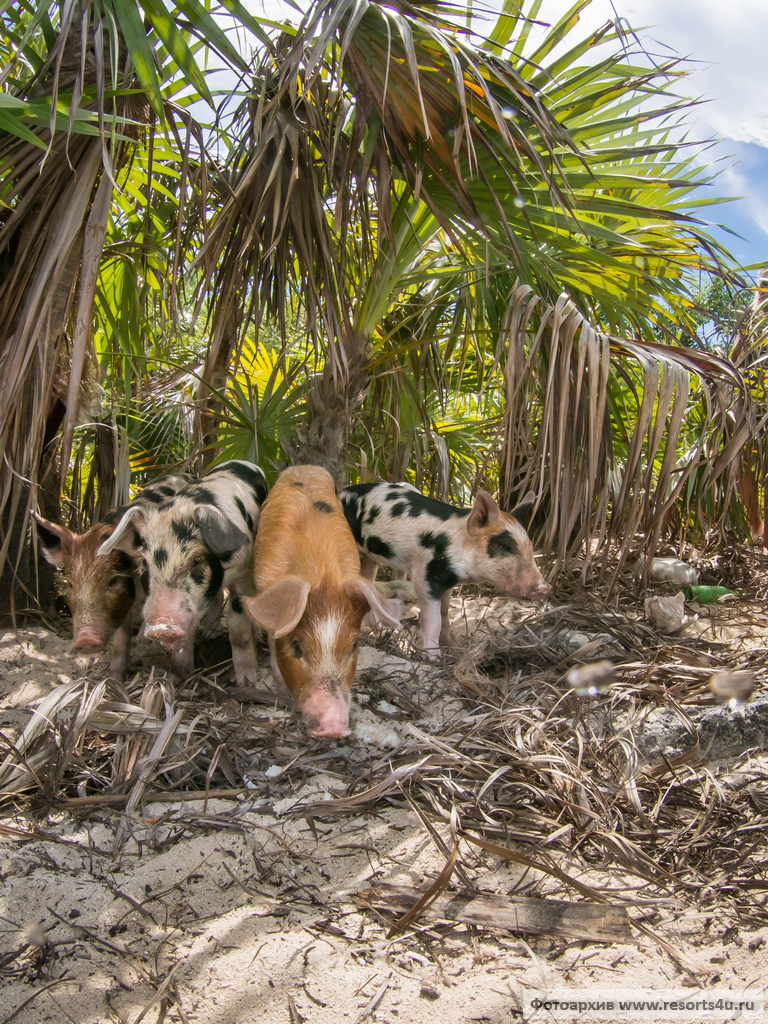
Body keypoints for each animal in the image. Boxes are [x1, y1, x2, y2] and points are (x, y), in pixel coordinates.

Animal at [96, 460, 268, 684]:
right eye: (144, 563)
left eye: (196, 561)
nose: (161, 626)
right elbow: (186, 633)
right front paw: (173, 679)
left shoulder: (243, 572)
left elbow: (238, 629)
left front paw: (247, 681)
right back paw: (210, 634)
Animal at [244, 468, 403, 741]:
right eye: (297, 646)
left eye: (353, 645)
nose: (333, 729)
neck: (321, 571)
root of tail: (306, 466)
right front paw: (281, 694)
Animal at [339, 483, 548, 659]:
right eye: (505, 547)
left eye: (529, 545)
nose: (546, 588)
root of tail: (341, 491)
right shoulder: (426, 577)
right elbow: (433, 620)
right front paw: (434, 659)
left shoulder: (449, 582)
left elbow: (445, 613)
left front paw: (453, 644)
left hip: (369, 558)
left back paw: (377, 627)